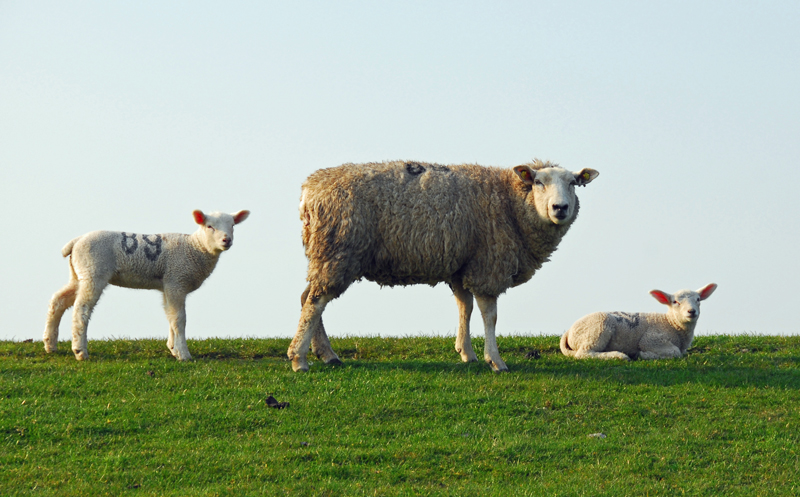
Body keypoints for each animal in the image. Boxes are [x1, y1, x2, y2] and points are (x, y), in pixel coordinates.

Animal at [43, 209, 250, 361]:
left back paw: (50, 344)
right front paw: (183, 354)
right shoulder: (176, 280)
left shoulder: (168, 285)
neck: (195, 247)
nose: (227, 240)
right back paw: (80, 351)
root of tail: (76, 241)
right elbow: (179, 319)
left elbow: (170, 316)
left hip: (79, 273)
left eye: (232, 225)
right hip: (94, 271)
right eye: (209, 226)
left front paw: (173, 348)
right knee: (82, 308)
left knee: (58, 300)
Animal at [289, 159, 599, 372]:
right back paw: (299, 359)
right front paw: (495, 360)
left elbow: (465, 307)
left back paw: (326, 354)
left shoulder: (461, 266)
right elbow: (490, 315)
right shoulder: (488, 264)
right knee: (315, 302)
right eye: (537, 182)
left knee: (307, 297)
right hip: (338, 250)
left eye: (573, 183)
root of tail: (308, 191)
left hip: (324, 253)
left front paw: (466, 353)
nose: (560, 208)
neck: (510, 204)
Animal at [560, 283, 718, 360]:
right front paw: (644, 355)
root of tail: (569, 331)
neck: (671, 323)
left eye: (698, 299)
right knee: (584, 353)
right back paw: (619, 356)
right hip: (598, 328)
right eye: (675, 302)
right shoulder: (652, 339)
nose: (692, 311)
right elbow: (676, 352)